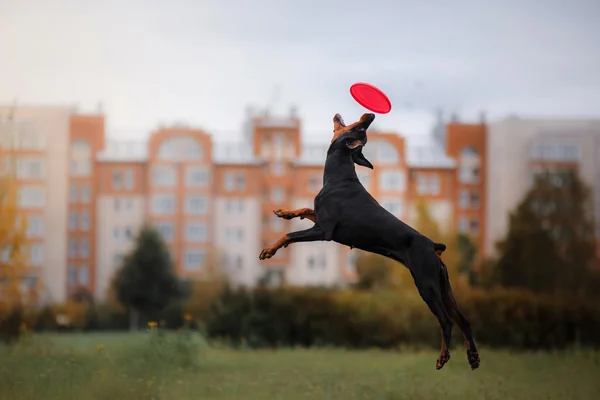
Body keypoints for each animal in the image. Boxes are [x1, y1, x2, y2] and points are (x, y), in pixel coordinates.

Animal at [258, 112, 478, 372]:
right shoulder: (320, 221)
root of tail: (433, 247)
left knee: (446, 321)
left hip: (427, 285)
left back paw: (443, 356)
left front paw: (269, 250)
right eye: (362, 128)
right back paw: (473, 356)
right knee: (464, 320)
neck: (339, 176)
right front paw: (285, 213)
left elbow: (290, 236)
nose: (370, 115)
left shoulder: (324, 231)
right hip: (443, 285)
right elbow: (304, 209)